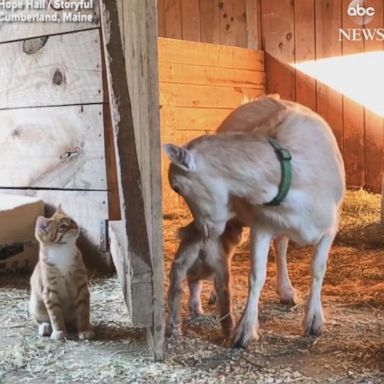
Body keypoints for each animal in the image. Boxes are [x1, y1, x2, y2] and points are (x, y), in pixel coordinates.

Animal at [28, 206, 94, 340]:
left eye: (72, 220)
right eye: (63, 226)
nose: (76, 226)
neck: (62, 251)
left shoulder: (80, 286)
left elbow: (83, 311)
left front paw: (85, 329)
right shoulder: (50, 291)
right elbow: (55, 315)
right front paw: (59, 332)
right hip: (36, 305)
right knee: (40, 320)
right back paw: (45, 327)